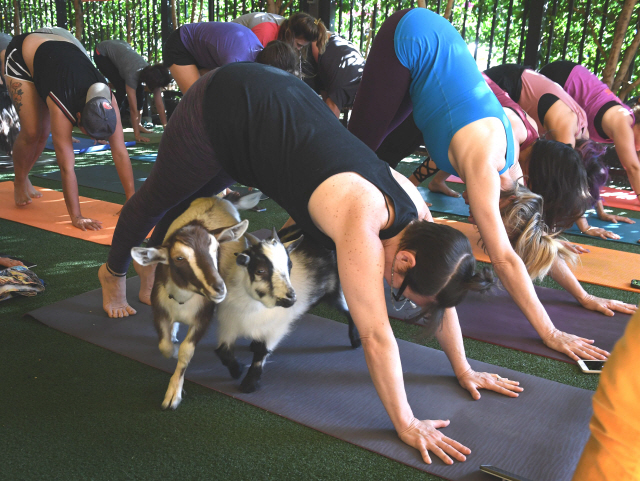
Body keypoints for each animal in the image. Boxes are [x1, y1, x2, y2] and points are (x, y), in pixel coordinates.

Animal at [130, 192, 260, 408]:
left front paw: (173, 394)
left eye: (216, 250)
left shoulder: (203, 317)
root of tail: (219, 199)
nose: (219, 288)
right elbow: (164, 346)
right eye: (179, 258)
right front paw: (172, 349)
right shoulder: (159, 310)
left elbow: (186, 351)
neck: (183, 299)